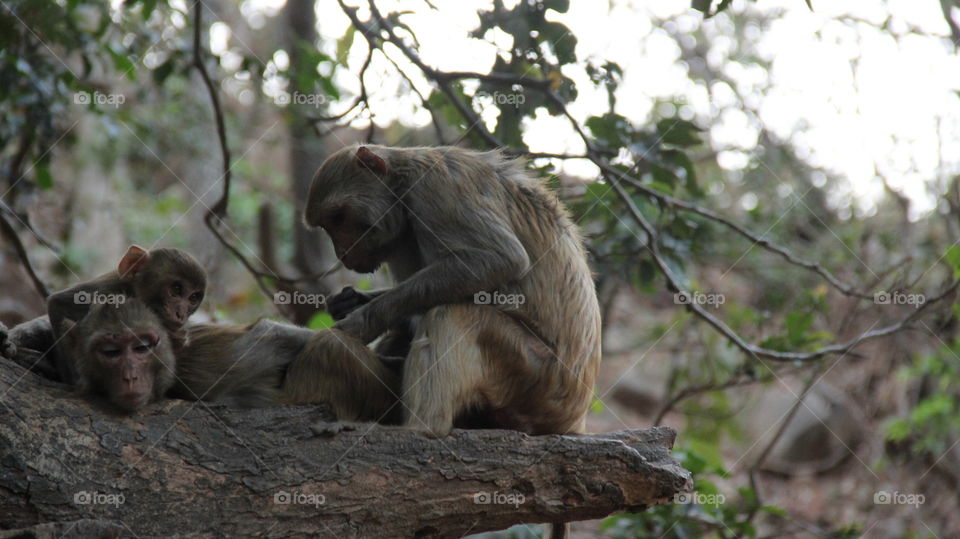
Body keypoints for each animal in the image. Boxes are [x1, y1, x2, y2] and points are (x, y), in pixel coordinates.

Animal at [304, 145, 602, 438]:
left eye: (339, 217)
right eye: (328, 224)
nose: (343, 254)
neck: (403, 186)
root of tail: (573, 418)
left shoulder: (437, 187)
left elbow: (500, 259)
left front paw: (364, 320)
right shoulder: (400, 239)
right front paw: (350, 302)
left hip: (537, 378)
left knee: (451, 314)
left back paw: (421, 428)